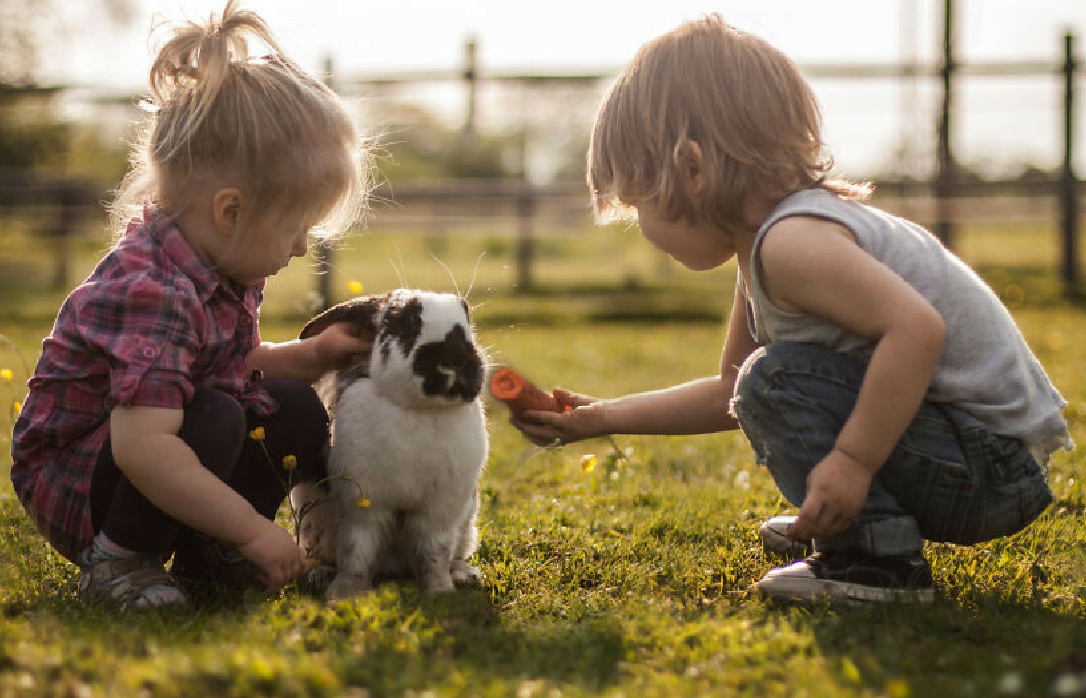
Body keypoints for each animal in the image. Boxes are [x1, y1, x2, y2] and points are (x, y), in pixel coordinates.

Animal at [293, 288, 488, 599]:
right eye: (402, 321)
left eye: (466, 316)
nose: (456, 358)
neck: (421, 409)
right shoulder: (362, 506)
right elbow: (357, 552)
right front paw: (343, 596)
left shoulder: (440, 510)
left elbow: (434, 553)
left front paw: (440, 593)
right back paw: (320, 576)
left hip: (467, 522)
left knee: (454, 554)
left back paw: (464, 575)